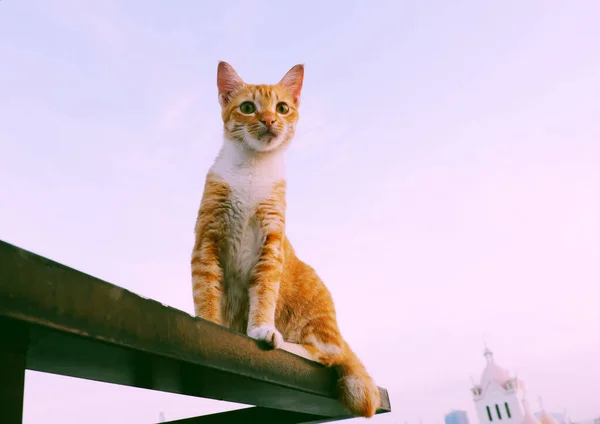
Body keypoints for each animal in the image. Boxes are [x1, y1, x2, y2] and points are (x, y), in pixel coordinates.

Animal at [191, 61, 380, 420]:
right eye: (248, 107)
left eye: (281, 108)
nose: (268, 120)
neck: (252, 169)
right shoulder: (207, 237)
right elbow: (205, 289)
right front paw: (207, 323)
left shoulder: (271, 242)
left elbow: (265, 291)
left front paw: (261, 328)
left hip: (316, 322)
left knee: (323, 354)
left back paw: (287, 342)